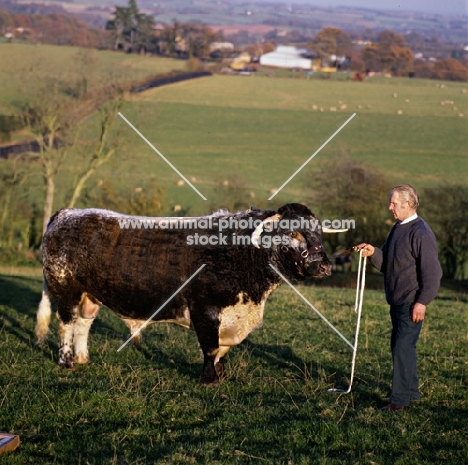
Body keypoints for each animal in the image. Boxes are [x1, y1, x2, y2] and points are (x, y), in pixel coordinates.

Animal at [36, 203, 336, 384]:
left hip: (90, 295)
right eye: (294, 233)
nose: (325, 266)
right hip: (65, 289)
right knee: (66, 324)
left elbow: (222, 349)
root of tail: (68, 213)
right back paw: (67, 362)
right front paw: (210, 379)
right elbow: (211, 346)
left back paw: (83, 358)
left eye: (319, 233)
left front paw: (221, 374)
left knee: (83, 324)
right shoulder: (205, 308)